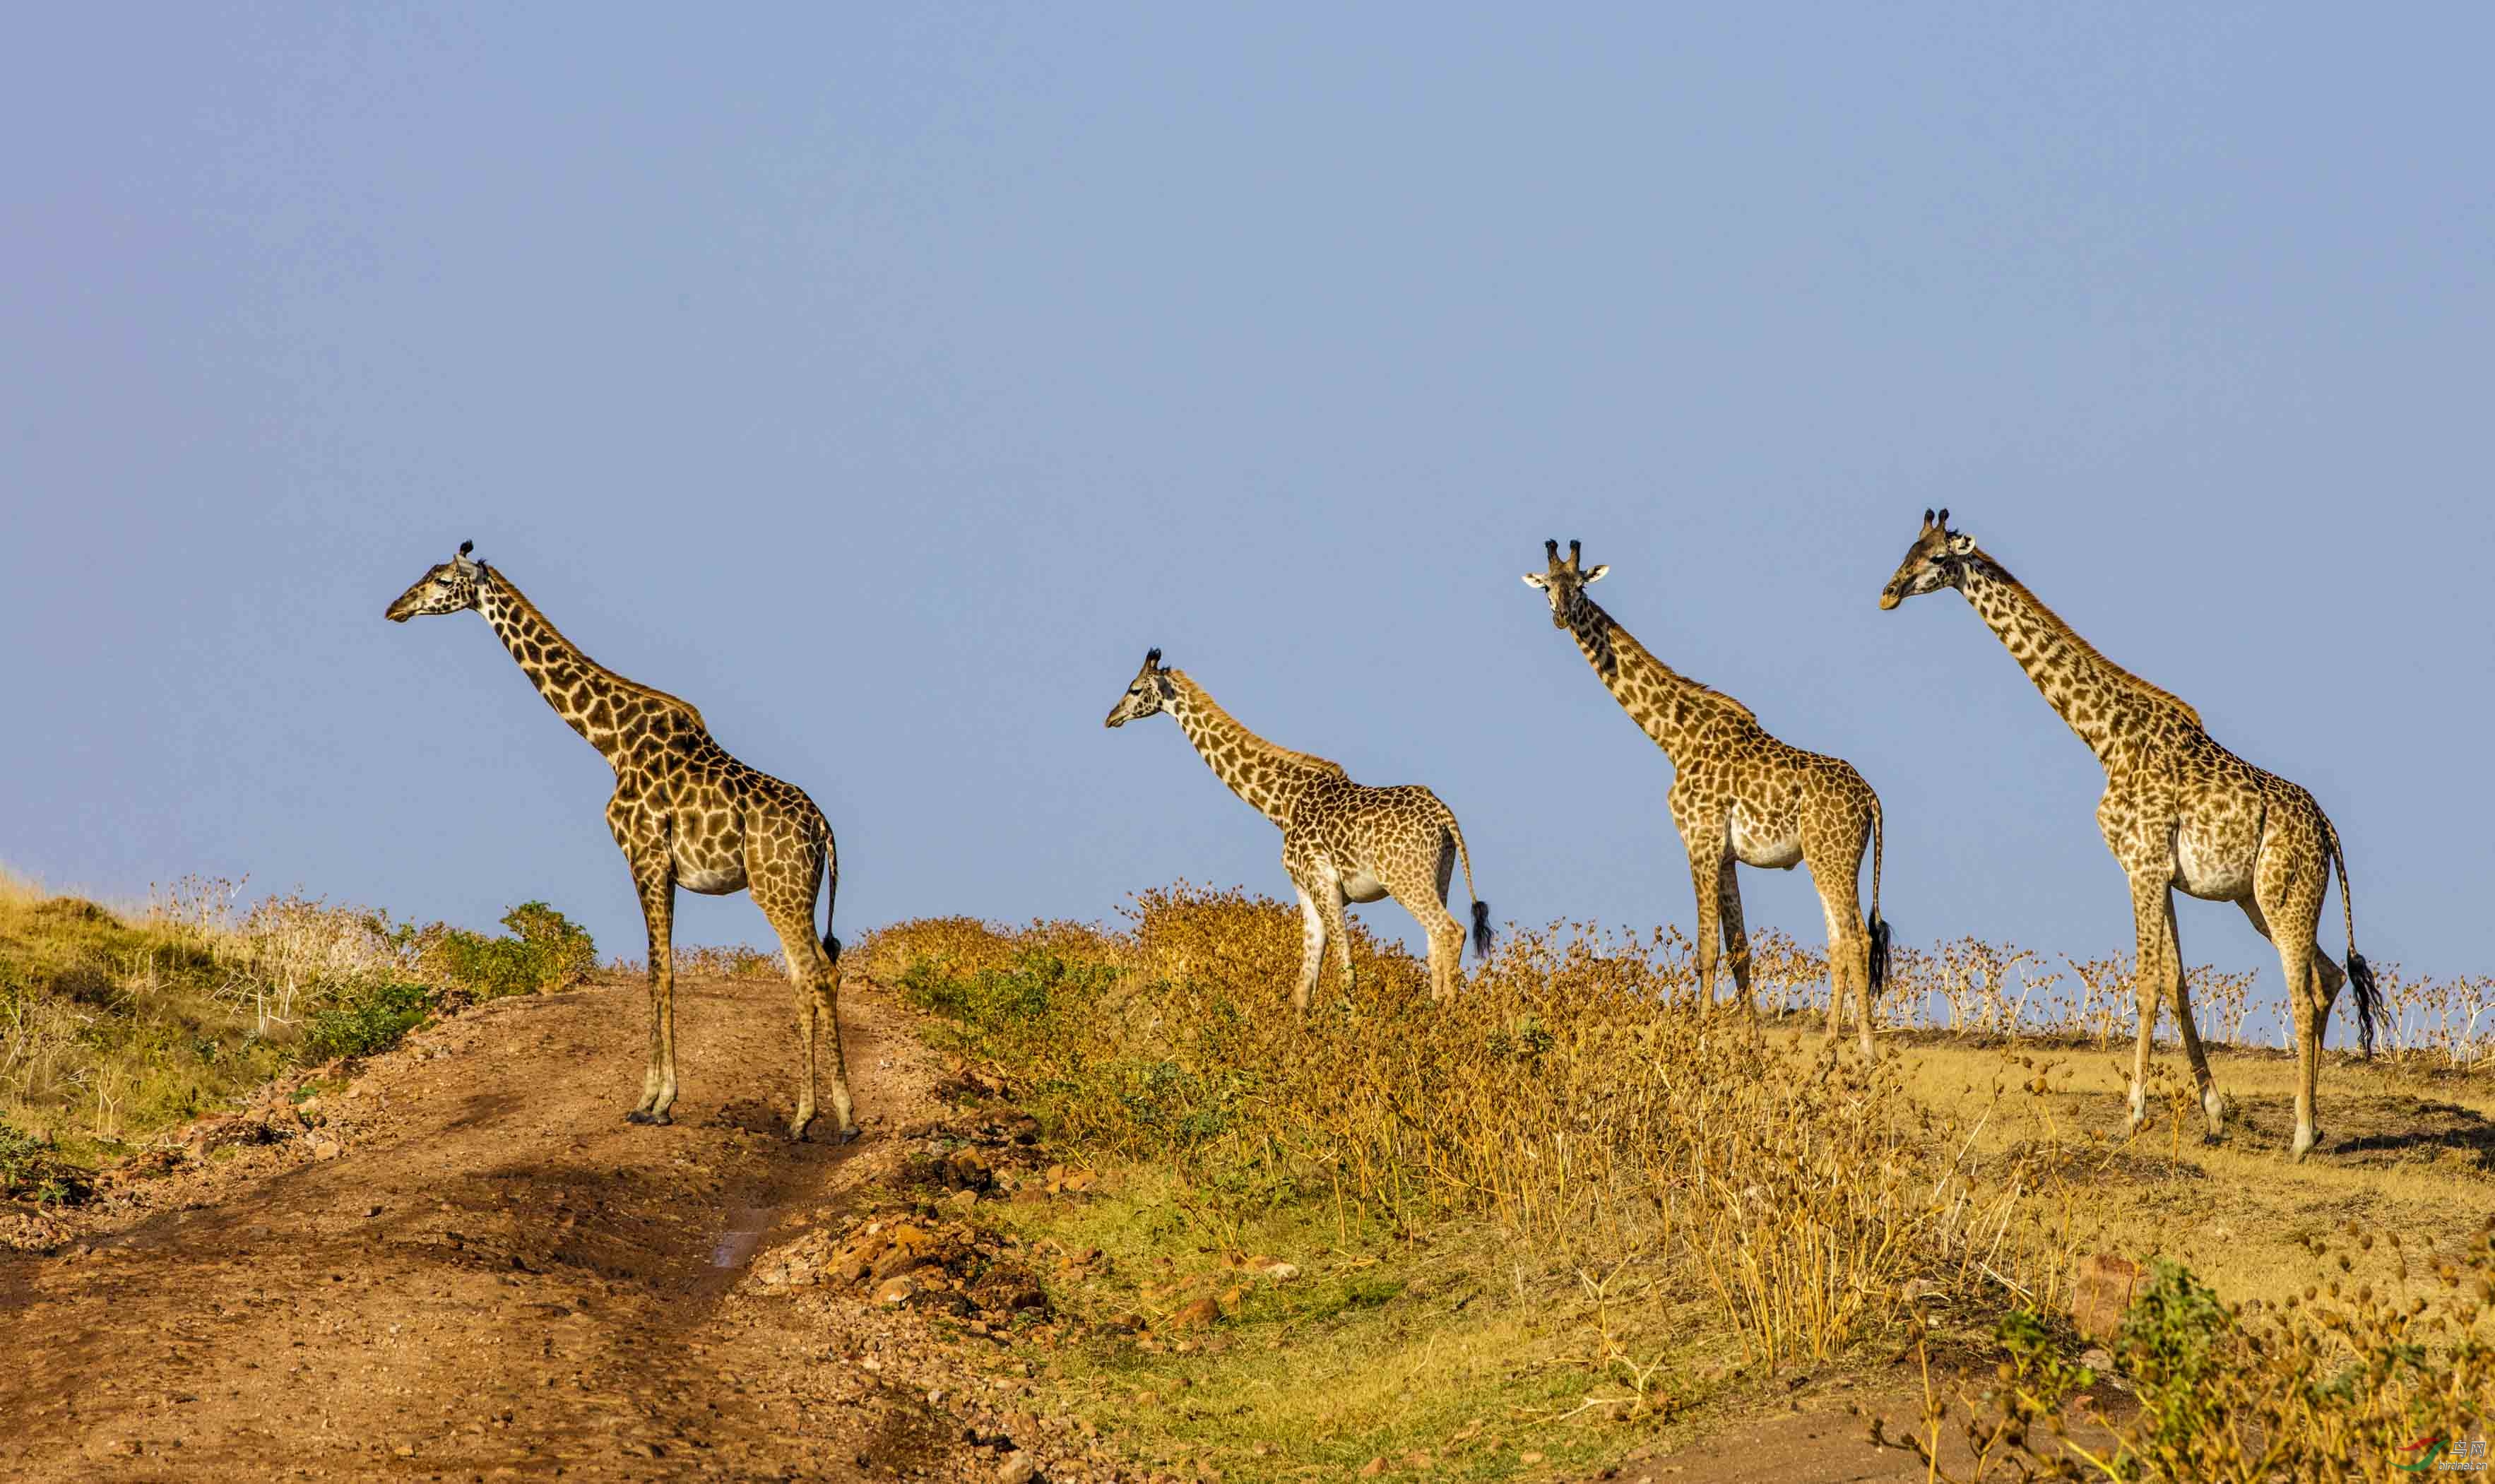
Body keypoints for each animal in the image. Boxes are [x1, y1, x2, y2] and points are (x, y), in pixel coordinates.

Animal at [381, 541, 858, 1142]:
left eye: (443, 579)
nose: (395, 608)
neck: (611, 740)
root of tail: (826, 831)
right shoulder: (663, 868)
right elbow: (664, 970)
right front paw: (659, 1097)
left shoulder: (645, 858)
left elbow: (659, 972)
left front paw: (653, 1102)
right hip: (798, 892)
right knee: (812, 974)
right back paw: (805, 1118)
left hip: (777, 890)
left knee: (817, 973)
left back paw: (836, 1117)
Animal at [1103, 648, 1487, 1012]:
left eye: (1134, 689)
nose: (1111, 717)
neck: (1282, 804)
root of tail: (1444, 815)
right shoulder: (1304, 888)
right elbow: (1304, 986)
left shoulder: (1323, 882)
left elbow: (1345, 969)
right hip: (1439, 876)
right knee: (1435, 941)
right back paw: (1438, 1010)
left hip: (1404, 879)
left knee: (1450, 931)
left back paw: (1447, 1014)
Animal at [1517, 541, 1886, 1052]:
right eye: (1548, 587)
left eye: (1581, 586)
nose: (1560, 616)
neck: (1674, 738)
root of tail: (1871, 798)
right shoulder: (1726, 854)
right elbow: (1740, 949)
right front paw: (1752, 1048)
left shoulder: (1700, 840)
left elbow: (1707, 948)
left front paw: (1699, 1046)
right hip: (1831, 857)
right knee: (1839, 940)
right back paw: (1829, 1051)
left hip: (1831, 855)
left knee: (1857, 940)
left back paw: (1865, 1051)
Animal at [1876, 511, 2385, 1162]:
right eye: (1909, 548)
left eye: (1938, 558)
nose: (1889, 592)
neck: (2105, 736)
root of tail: (2327, 829)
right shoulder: (2160, 872)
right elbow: (2175, 982)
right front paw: (2214, 1115)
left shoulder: (2140, 865)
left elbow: (2144, 985)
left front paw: (2133, 1115)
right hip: (2263, 900)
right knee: (2330, 976)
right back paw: (2314, 1126)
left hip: (2283, 894)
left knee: (2304, 992)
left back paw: (2300, 1135)